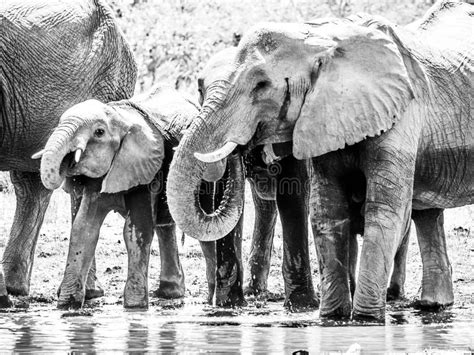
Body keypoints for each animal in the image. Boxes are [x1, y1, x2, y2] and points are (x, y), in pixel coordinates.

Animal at [35, 86, 197, 308]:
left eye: (99, 132)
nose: (68, 162)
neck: (122, 116)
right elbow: (84, 228)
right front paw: (67, 306)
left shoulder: (146, 171)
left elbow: (137, 231)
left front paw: (135, 307)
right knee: (165, 226)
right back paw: (170, 293)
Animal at [168, 0, 474, 322]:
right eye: (199, 89)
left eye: (261, 85)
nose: (240, 145)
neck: (320, 41)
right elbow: (327, 208)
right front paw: (332, 318)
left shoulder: (401, 111)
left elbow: (381, 210)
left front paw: (363, 320)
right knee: (427, 213)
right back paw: (432, 305)